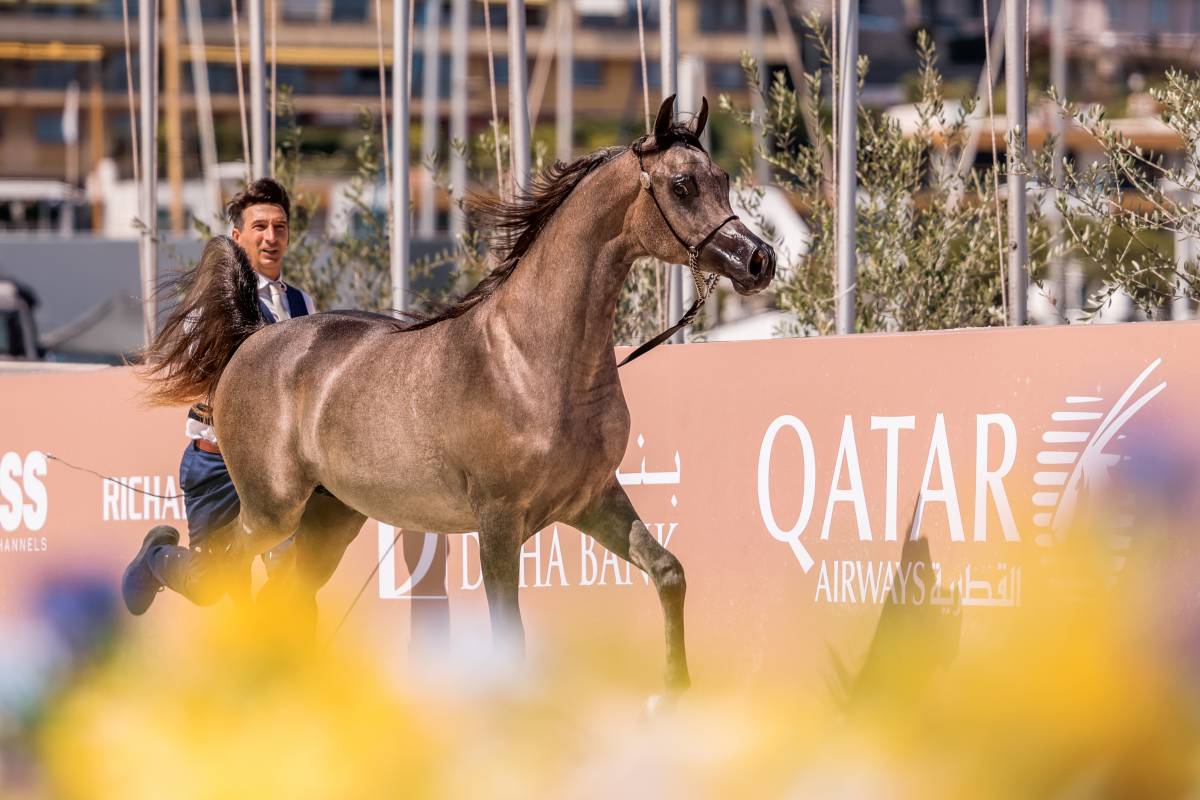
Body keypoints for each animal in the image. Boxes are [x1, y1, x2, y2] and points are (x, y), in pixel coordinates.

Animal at [142, 95, 775, 695]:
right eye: (682, 185)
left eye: (722, 178)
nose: (759, 261)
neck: (533, 361)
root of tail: (255, 337)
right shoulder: (498, 521)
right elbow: (509, 636)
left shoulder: (593, 500)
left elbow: (667, 571)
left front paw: (672, 691)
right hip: (270, 509)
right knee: (217, 569)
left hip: (330, 517)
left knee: (281, 593)